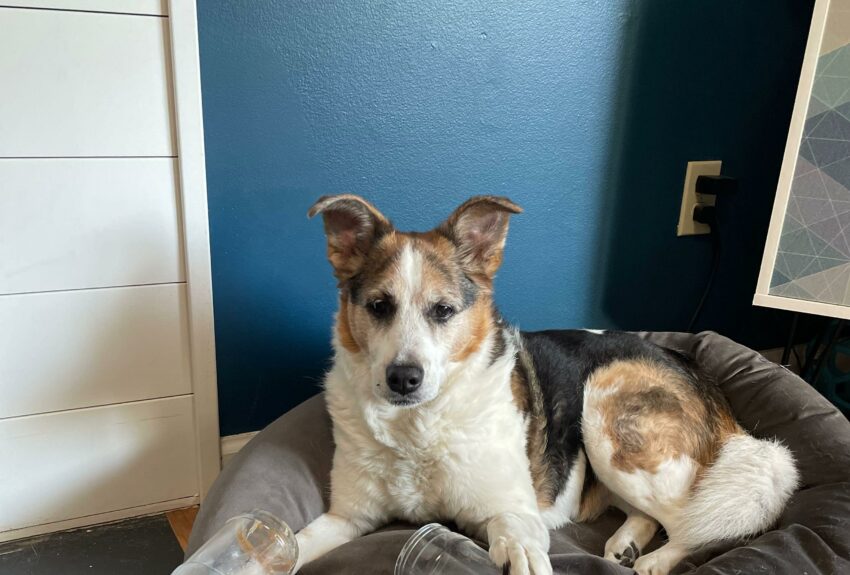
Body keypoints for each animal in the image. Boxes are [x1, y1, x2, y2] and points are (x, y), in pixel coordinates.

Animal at [294, 194, 798, 575]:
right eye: (379, 306)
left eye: (443, 311)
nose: (403, 378)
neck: (417, 425)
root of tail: (694, 370)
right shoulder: (346, 518)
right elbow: (294, 545)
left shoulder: (512, 510)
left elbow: (515, 537)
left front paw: (520, 555)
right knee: (652, 516)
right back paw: (626, 543)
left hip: (608, 416)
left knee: (694, 523)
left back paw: (657, 560)